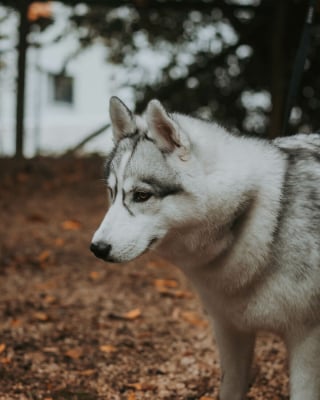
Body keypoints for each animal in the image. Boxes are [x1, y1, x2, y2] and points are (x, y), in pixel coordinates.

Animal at [90, 97, 320, 400]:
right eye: (112, 193)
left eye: (141, 195)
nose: (97, 248)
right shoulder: (230, 331)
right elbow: (230, 390)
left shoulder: (306, 340)